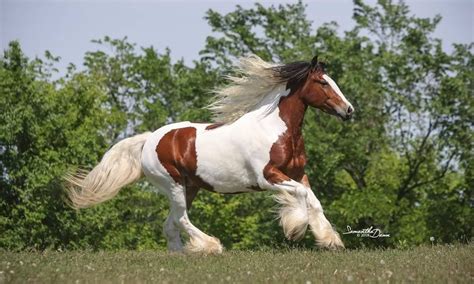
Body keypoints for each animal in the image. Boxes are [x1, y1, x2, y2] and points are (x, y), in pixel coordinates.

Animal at [67, 54, 356, 254]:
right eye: (322, 82)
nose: (349, 110)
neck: (275, 128)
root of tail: (150, 140)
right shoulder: (268, 177)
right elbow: (301, 196)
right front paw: (295, 229)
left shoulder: (298, 173)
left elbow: (313, 200)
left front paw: (331, 241)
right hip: (172, 184)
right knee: (181, 219)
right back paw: (211, 246)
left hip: (189, 187)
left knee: (170, 224)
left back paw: (181, 253)